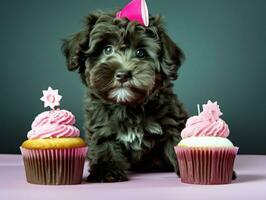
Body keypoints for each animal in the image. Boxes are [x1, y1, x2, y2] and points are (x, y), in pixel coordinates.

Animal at [61, 11, 188, 183]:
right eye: (107, 49)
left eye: (141, 53)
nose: (123, 74)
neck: (128, 106)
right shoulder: (101, 124)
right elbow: (104, 145)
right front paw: (106, 171)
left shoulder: (171, 120)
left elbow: (176, 142)